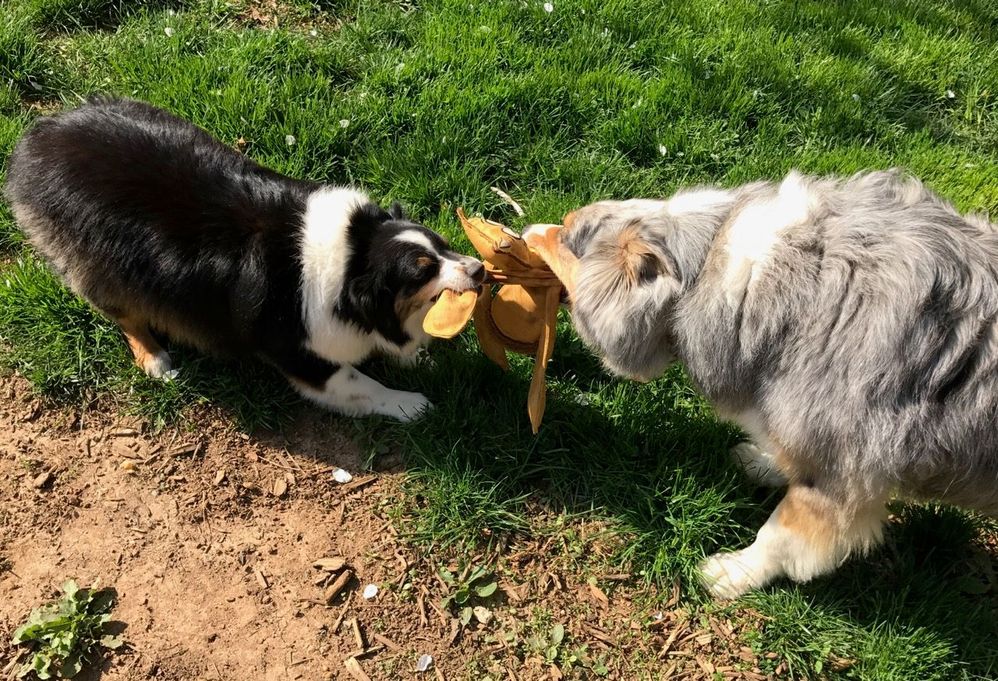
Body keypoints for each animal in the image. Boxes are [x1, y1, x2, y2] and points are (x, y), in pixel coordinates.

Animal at [5, 98, 484, 420]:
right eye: (422, 271)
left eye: (444, 246)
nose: (480, 269)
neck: (354, 258)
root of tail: (38, 138)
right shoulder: (304, 357)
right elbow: (361, 384)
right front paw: (411, 404)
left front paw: (417, 360)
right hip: (102, 264)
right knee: (124, 313)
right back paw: (155, 357)